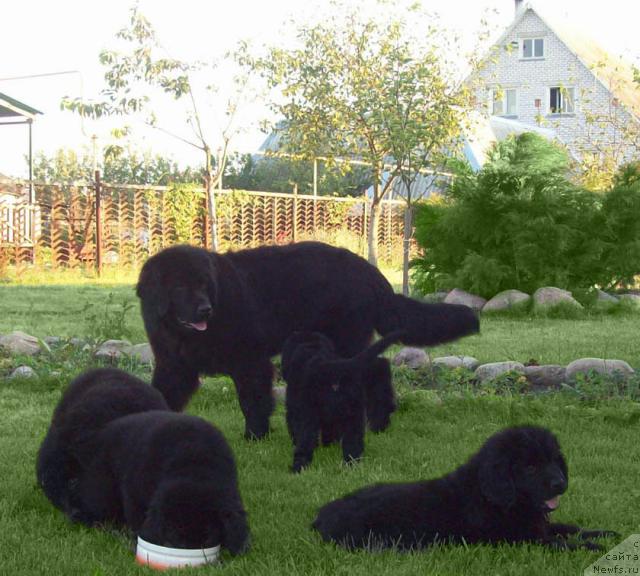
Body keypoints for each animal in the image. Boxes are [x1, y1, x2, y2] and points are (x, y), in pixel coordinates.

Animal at [136, 242, 480, 436]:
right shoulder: (174, 365)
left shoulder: (250, 361)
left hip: (346, 341)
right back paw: (380, 422)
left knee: (373, 368)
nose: (205, 310)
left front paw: (255, 436)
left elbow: (253, 402)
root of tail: (370, 272)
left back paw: (377, 422)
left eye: (204, 284)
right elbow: (161, 393)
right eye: (180, 286)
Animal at [282, 328, 402, 472]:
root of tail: (332, 368)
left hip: (309, 413)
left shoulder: (294, 405)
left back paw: (298, 468)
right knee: (353, 440)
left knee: (305, 441)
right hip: (354, 412)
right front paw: (329, 445)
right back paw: (352, 465)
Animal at [312, 426, 616, 552]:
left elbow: (569, 528)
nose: (561, 484)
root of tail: (321, 516)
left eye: (554, 460)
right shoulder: (522, 538)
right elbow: (561, 542)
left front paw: (604, 533)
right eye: (529, 467)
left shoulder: (538, 525)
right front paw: (593, 546)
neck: (492, 497)